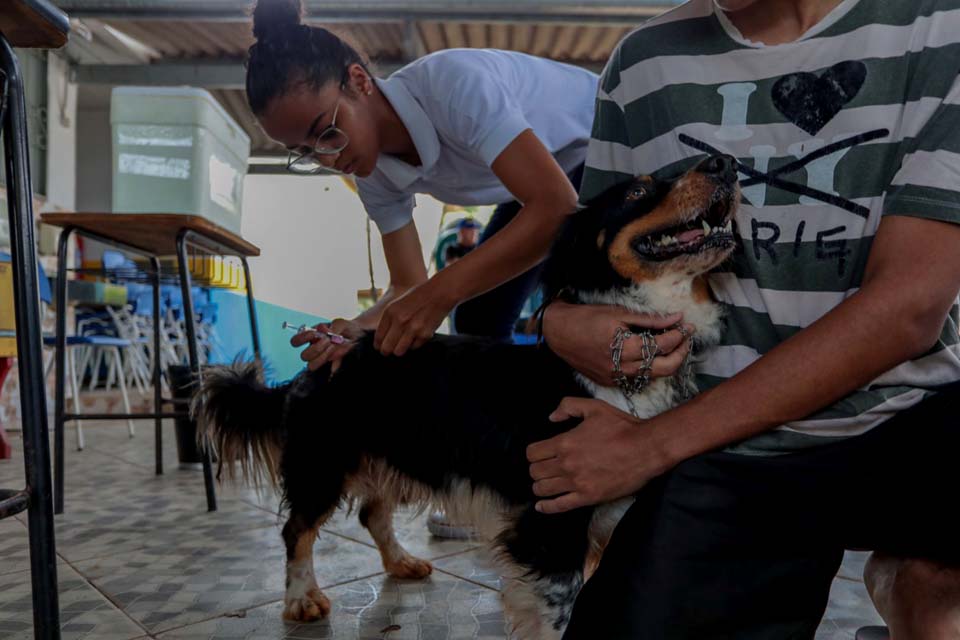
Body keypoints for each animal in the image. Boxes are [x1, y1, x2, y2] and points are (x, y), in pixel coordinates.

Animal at [199, 152, 744, 636]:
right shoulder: (550, 522)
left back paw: (401, 562)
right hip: (324, 461)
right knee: (297, 530)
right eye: (635, 192)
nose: (725, 164)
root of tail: (328, 351)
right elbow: (559, 617)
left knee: (371, 512)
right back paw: (301, 599)